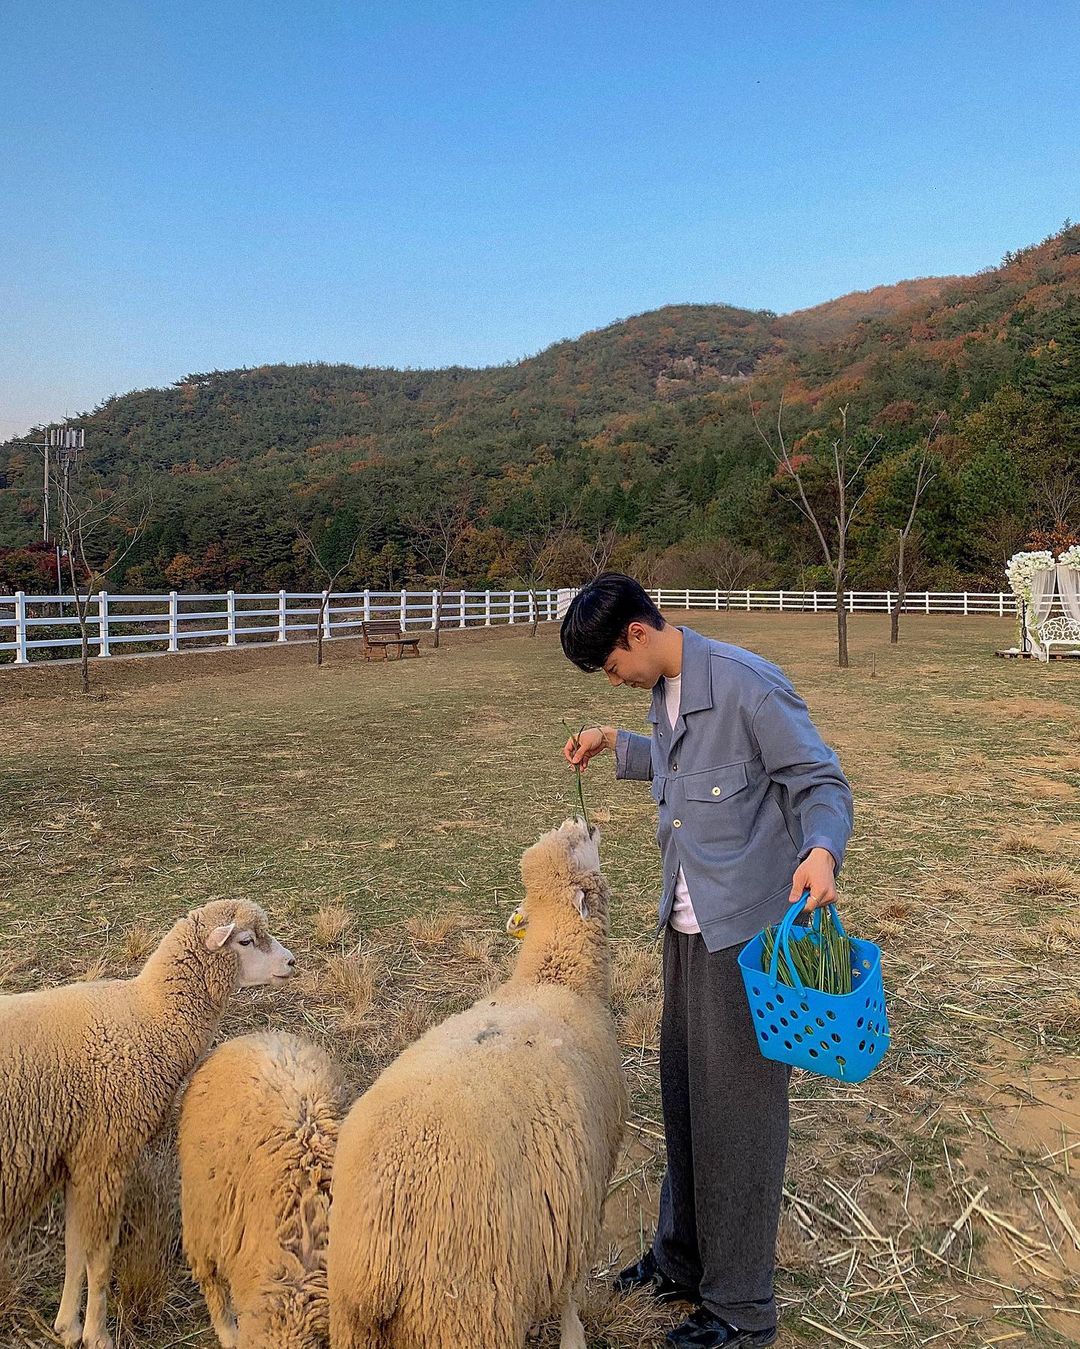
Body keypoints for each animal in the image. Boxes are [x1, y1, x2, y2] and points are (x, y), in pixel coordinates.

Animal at [0, 898, 295, 1349]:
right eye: (245, 941)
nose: (291, 962)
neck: (150, 1019)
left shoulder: (80, 1157)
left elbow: (75, 1245)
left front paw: (67, 1326)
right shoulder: (107, 1152)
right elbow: (100, 1256)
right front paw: (97, 1334)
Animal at [327, 818, 626, 1349]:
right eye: (577, 844)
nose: (583, 820)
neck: (554, 978)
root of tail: (375, 1259)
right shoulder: (582, 1193)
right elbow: (570, 1291)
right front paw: (573, 1335)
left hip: (354, 1325)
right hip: (467, 1314)